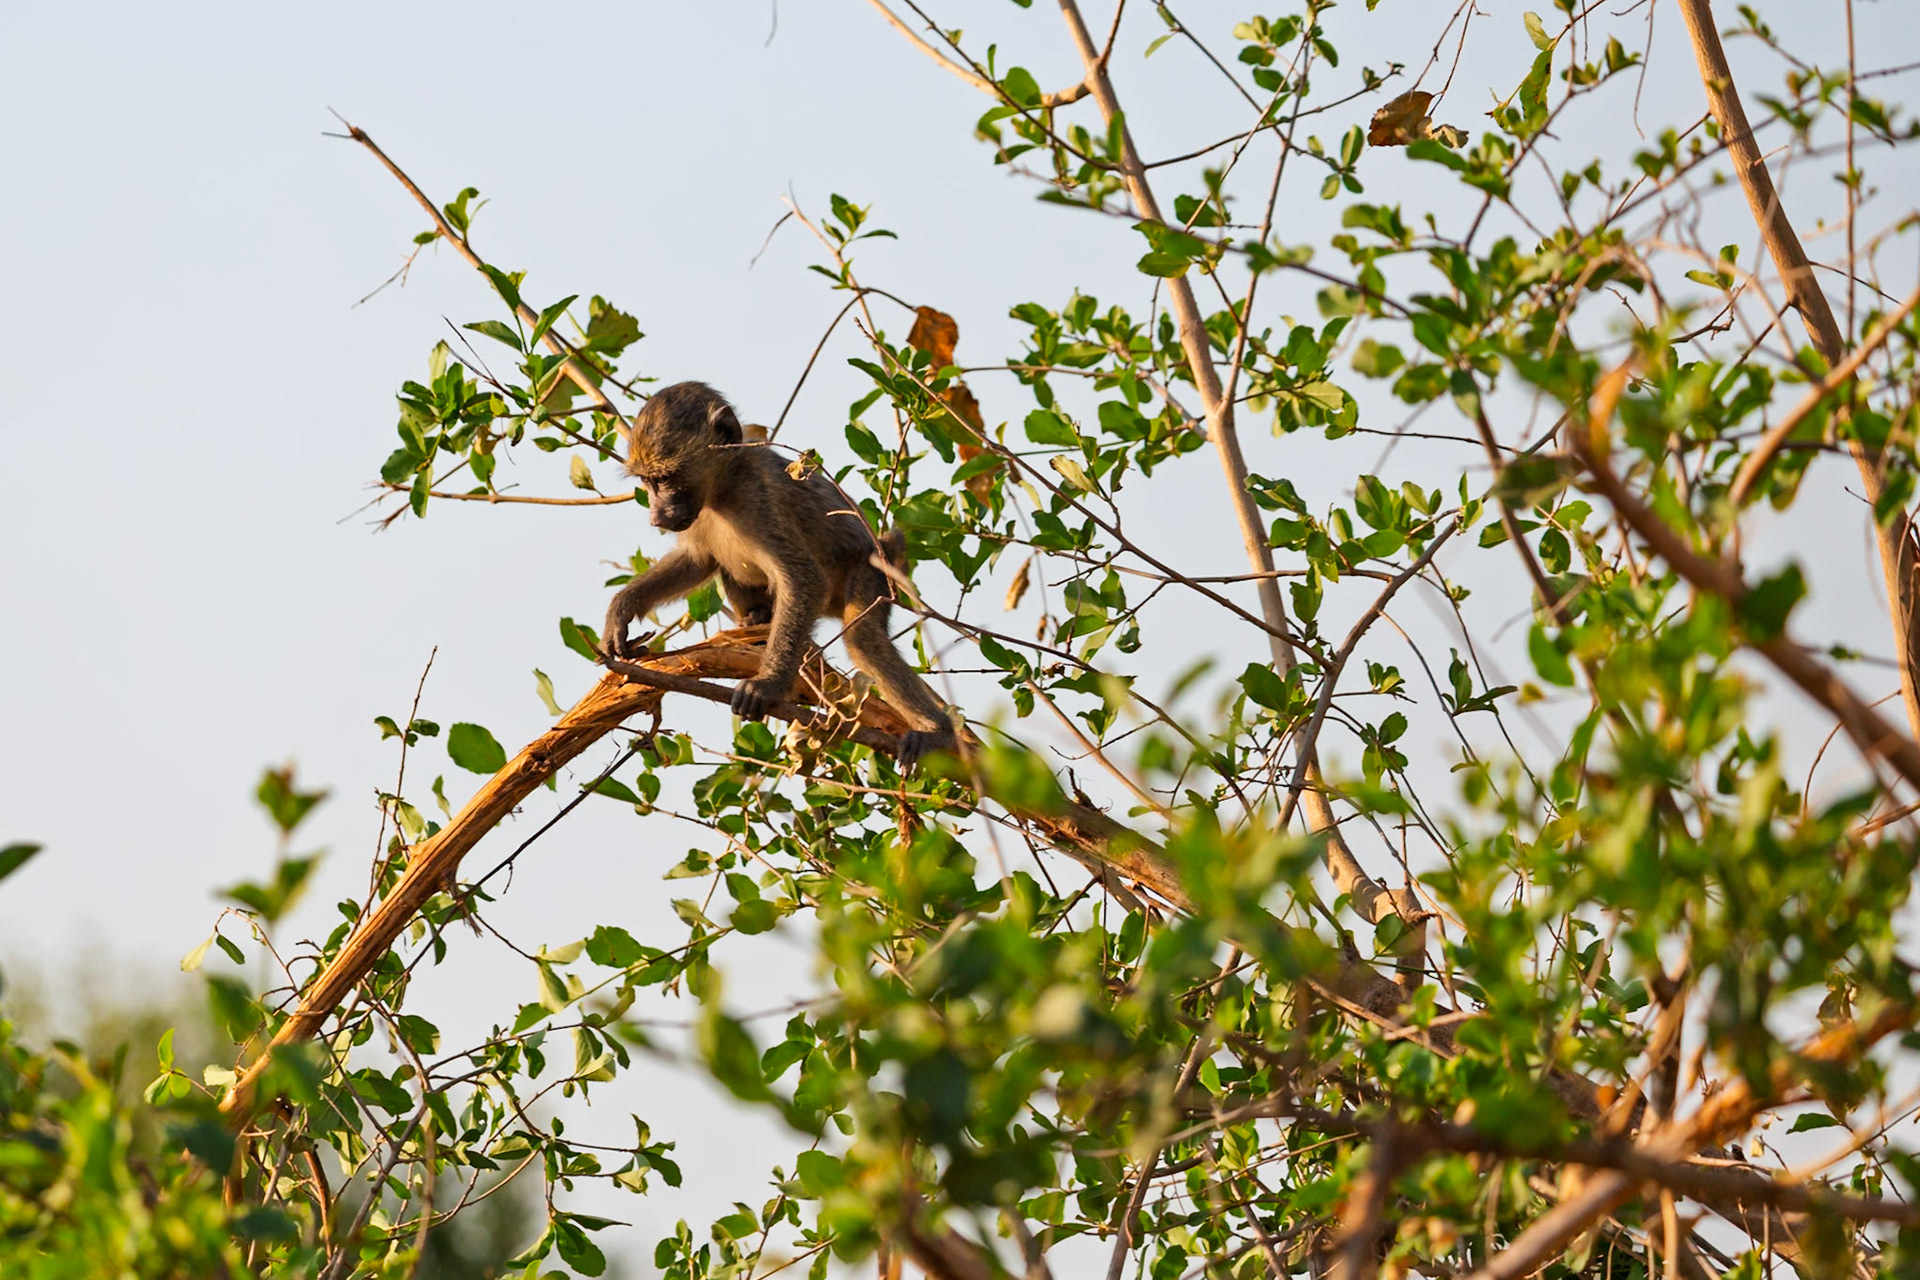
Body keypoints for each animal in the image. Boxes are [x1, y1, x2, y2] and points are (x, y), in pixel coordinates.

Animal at [602, 381, 958, 768]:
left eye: (665, 478)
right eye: (647, 481)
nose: (657, 517)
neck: (724, 487)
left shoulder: (763, 500)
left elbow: (803, 577)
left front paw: (767, 685)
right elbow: (698, 561)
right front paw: (621, 610)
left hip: (871, 569)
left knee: (864, 640)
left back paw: (937, 733)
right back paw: (756, 619)